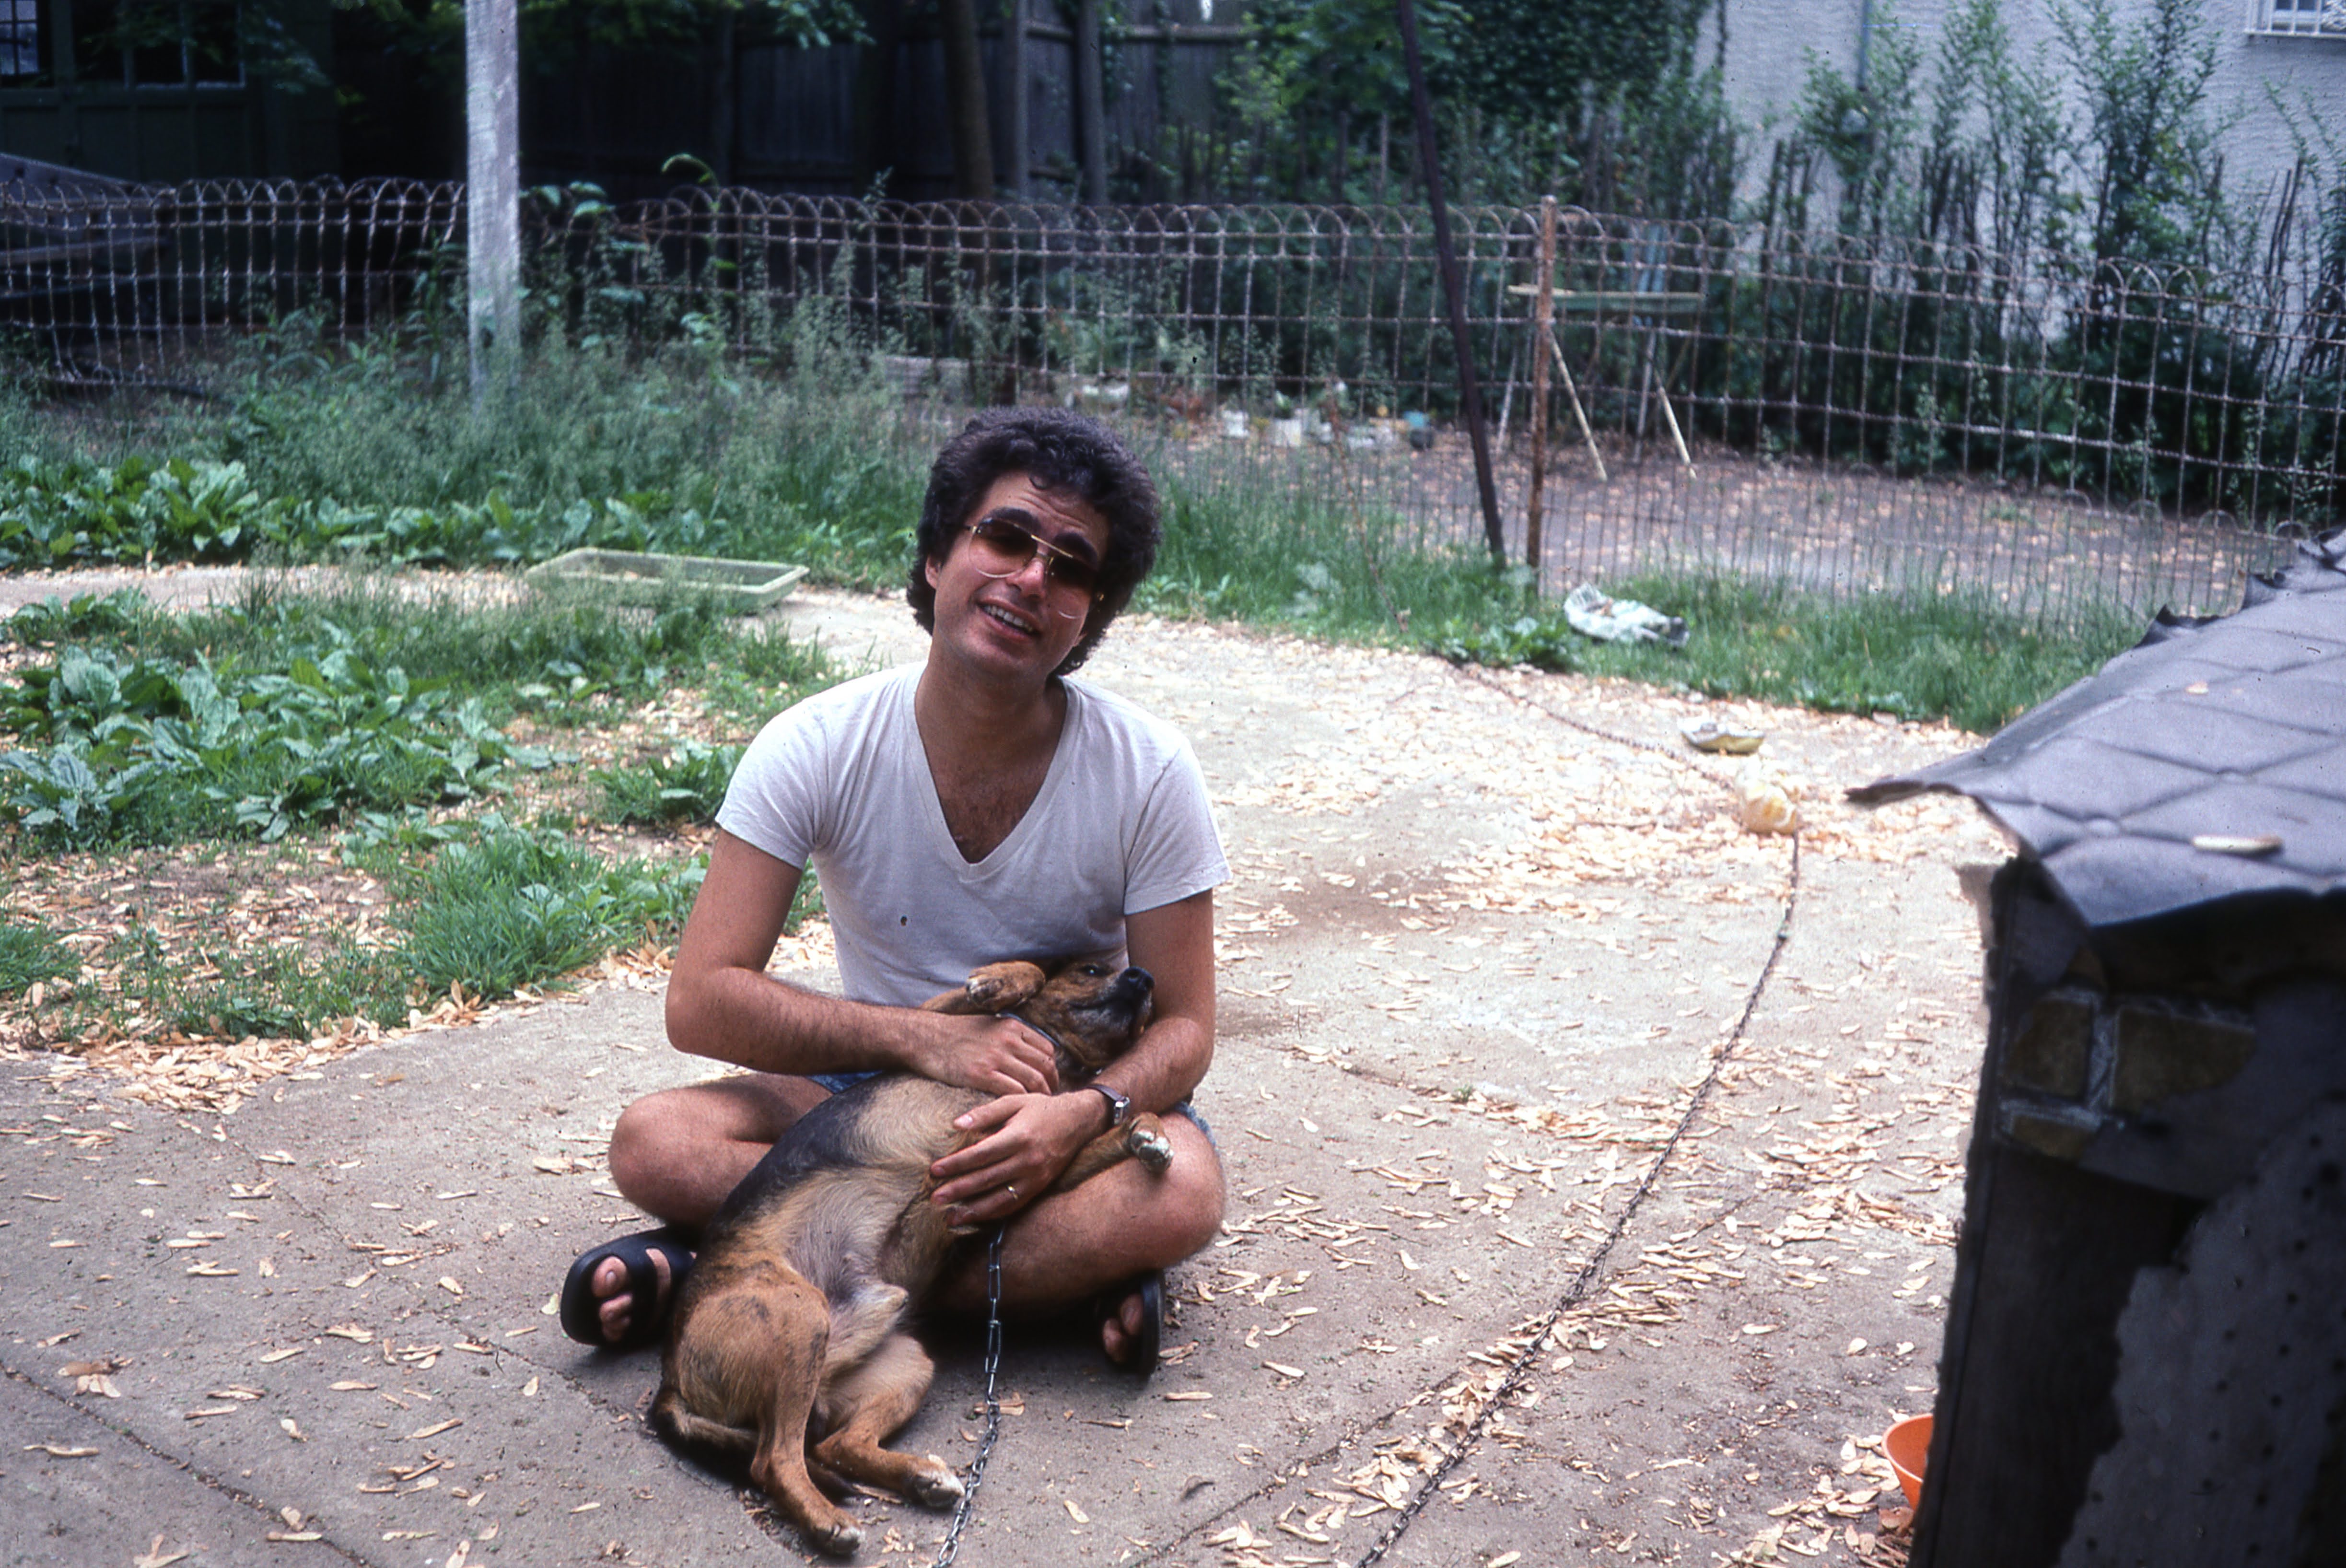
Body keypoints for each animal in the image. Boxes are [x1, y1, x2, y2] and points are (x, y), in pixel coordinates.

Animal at [649, 958, 1173, 1556]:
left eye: (1147, 1014)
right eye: (1090, 970)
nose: (1144, 979)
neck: (1058, 1058)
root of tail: (671, 1378)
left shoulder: (1031, 1160)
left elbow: (1111, 1129)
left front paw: (1148, 1132)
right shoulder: (935, 1023)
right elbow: (1017, 981)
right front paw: (1000, 980)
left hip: (900, 1366)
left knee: (831, 1448)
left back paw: (919, 1477)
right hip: (797, 1316)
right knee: (774, 1461)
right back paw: (829, 1522)